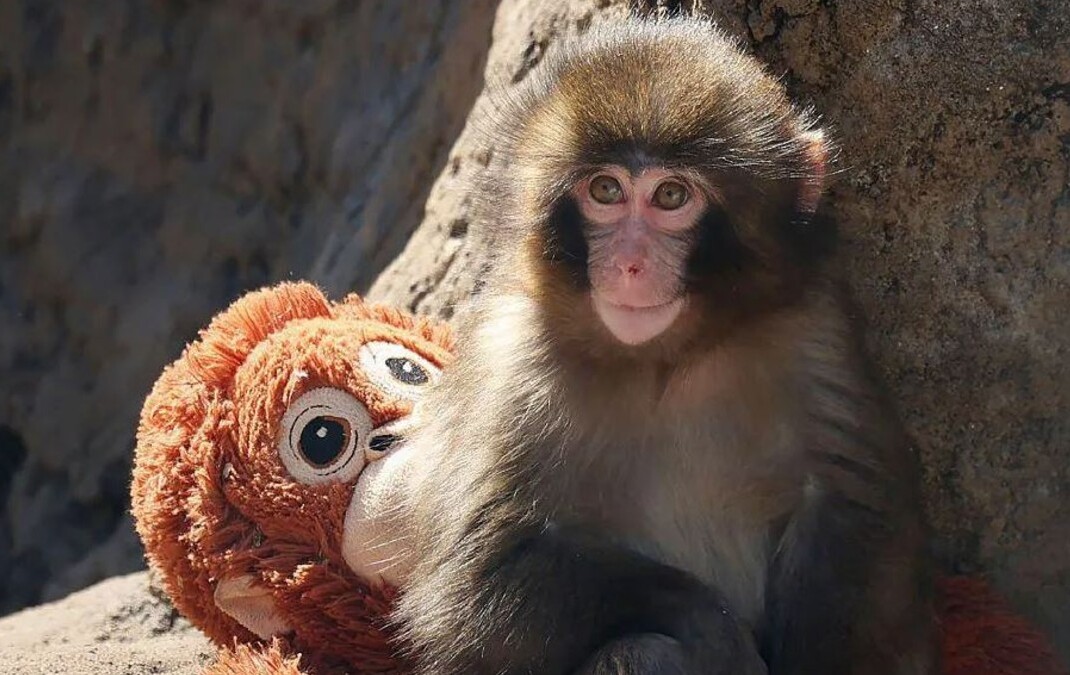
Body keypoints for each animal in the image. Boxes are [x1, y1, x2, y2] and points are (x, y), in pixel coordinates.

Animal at [392, 17, 936, 675]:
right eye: (605, 189)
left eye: (671, 197)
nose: (629, 264)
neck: (664, 360)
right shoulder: (512, 363)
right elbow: (476, 587)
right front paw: (712, 628)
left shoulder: (813, 329)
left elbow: (853, 511)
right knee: (639, 651)